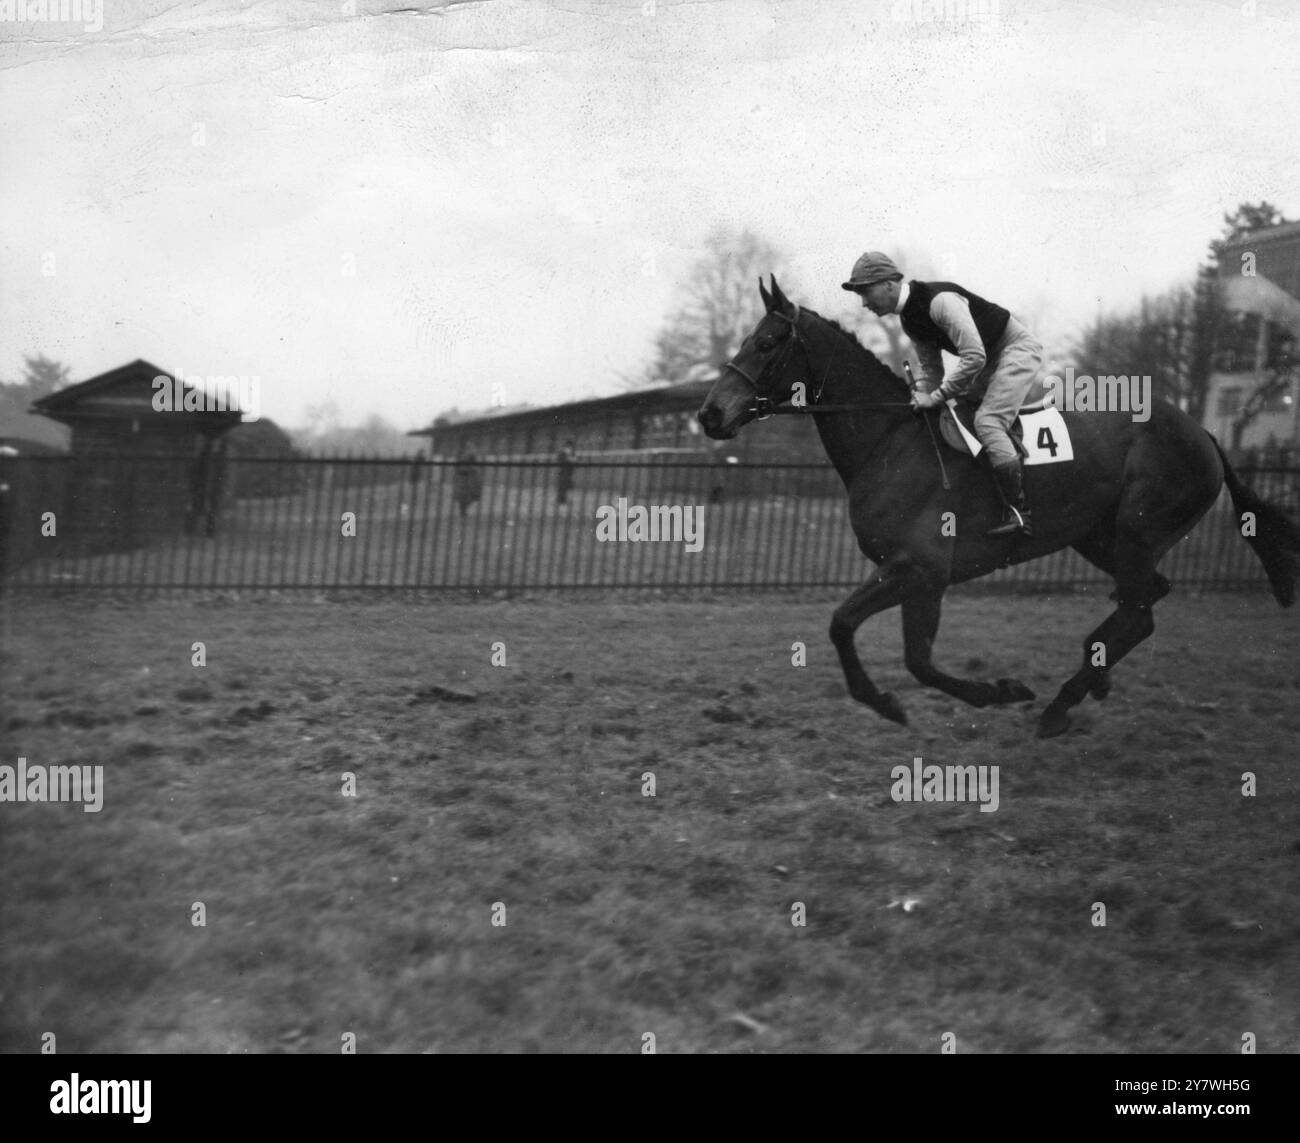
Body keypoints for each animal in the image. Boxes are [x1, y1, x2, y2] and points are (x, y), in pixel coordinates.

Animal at [702, 282, 1300, 738]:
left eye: (767, 342)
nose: (709, 414)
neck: (889, 441)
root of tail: (1203, 432)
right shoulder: (914, 575)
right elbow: (885, 644)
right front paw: (922, 699)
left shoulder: (920, 570)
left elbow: (864, 634)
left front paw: (987, 692)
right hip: (1100, 537)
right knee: (1146, 601)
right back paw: (1093, 675)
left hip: (1136, 533)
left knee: (1139, 608)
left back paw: (1062, 702)